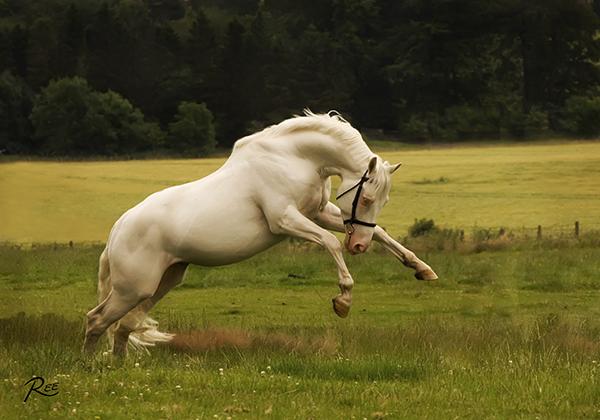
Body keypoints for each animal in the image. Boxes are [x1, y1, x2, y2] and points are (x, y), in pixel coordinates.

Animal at [82, 110, 436, 354]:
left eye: (382, 200)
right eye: (365, 198)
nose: (359, 246)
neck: (296, 158)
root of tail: (117, 230)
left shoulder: (319, 213)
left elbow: (381, 234)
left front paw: (422, 269)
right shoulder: (285, 219)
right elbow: (331, 244)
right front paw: (343, 301)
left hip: (160, 284)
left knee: (122, 326)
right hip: (134, 289)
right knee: (97, 320)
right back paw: (92, 369)